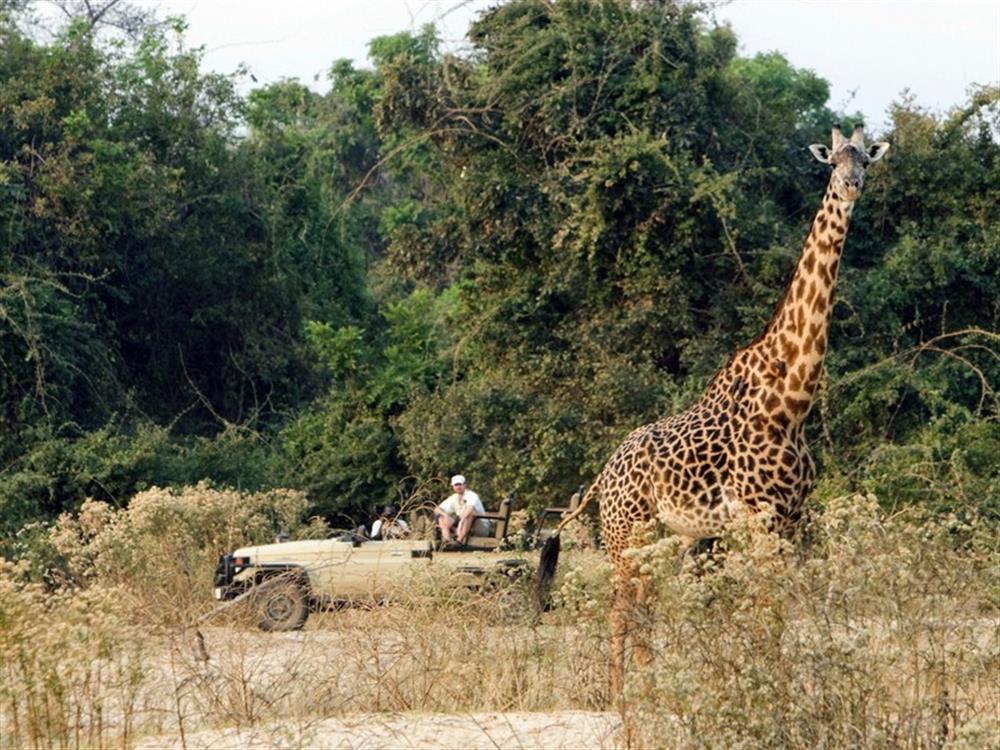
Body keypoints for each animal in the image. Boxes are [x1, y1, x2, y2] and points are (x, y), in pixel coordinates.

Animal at [536, 125, 896, 700]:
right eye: (831, 162)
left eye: (865, 159)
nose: (850, 186)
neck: (792, 399)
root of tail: (602, 476)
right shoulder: (756, 517)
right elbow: (762, 607)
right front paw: (766, 687)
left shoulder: (789, 520)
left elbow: (777, 608)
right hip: (625, 535)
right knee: (619, 606)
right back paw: (620, 696)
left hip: (664, 538)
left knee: (645, 605)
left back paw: (650, 688)